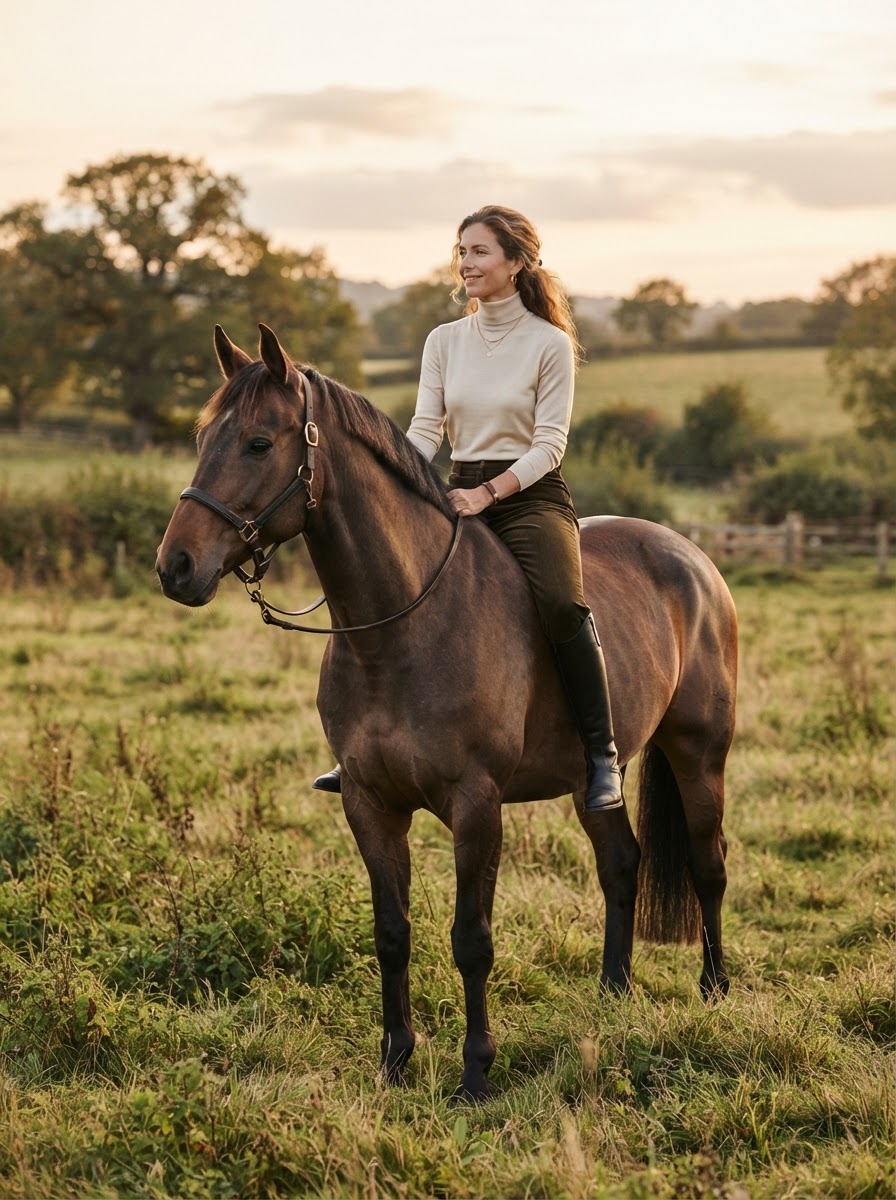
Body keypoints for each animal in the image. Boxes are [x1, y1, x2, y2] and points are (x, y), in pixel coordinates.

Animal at [156, 324, 738, 1102]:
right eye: (203, 438)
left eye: (257, 442)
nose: (176, 567)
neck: (401, 629)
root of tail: (692, 557)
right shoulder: (369, 803)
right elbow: (391, 933)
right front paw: (395, 1061)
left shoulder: (476, 805)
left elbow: (471, 938)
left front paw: (475, 1074)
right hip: (593, 781)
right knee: (621, 863)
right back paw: (613, 994)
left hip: (699, 751)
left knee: (708, 865)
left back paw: (713, 988)